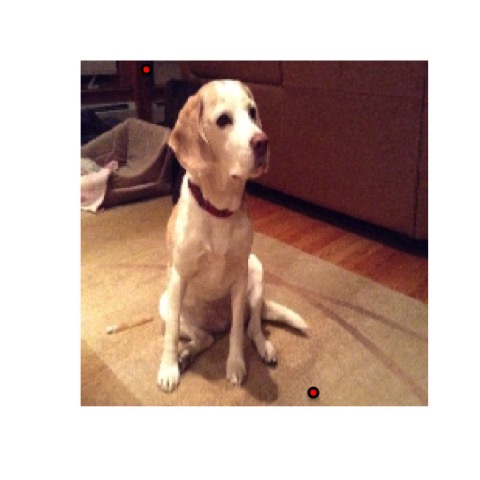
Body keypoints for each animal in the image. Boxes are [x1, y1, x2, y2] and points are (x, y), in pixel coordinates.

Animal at [157, 80, 307, 393]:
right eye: (223, 120)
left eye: (252, 112)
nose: (263, 142)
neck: (220, 209)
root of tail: (218, 322)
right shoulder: (178, 278)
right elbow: (171, 333)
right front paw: (168, 369)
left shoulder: (240, 276)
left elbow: (239, 331)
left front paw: (236, 364)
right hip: (165, 303)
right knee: (202, 337)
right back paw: (184, 355)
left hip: (256, 273)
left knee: (251, 328)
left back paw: (264, 348)